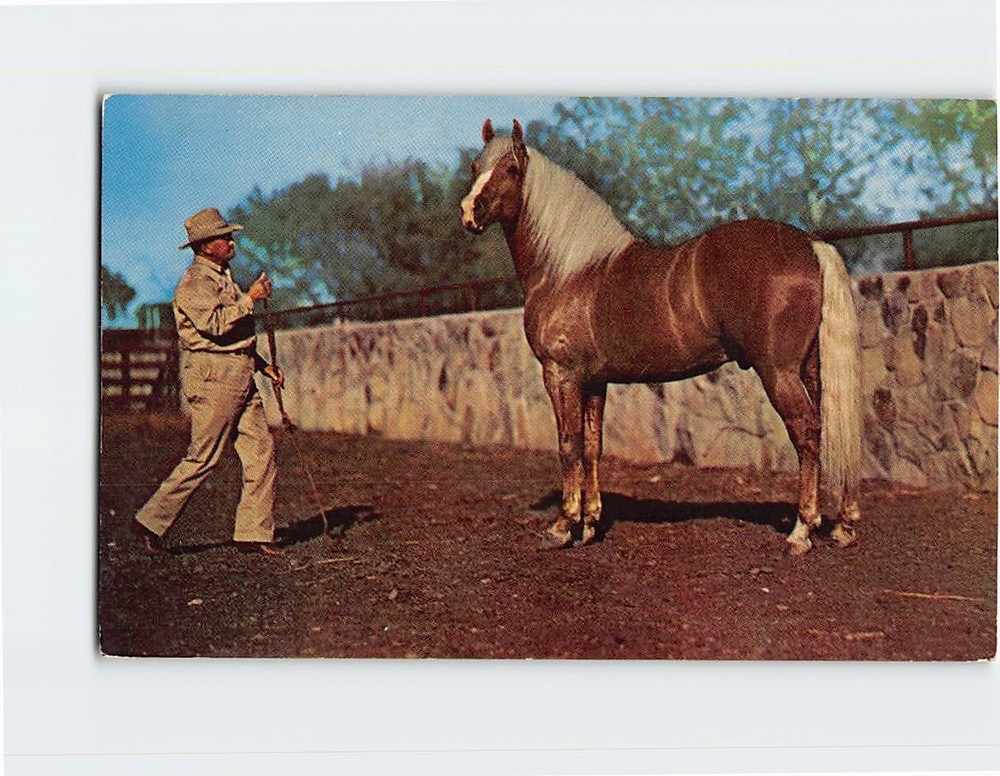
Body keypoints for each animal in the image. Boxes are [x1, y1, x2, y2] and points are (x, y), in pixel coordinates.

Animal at [460, 119, 863, 555]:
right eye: (475, 166)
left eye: (511, 169)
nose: (469, 213)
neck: (567, 272)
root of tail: (809, 244)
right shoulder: (594, 380)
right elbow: (593, 446)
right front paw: (589, 525)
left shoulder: (561, 375)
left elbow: (569, 445)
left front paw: (562, 526)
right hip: (810, 369)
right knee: (827, 428)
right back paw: (842, 525)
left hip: (779, 372)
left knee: (806, 432)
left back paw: (801, 531)